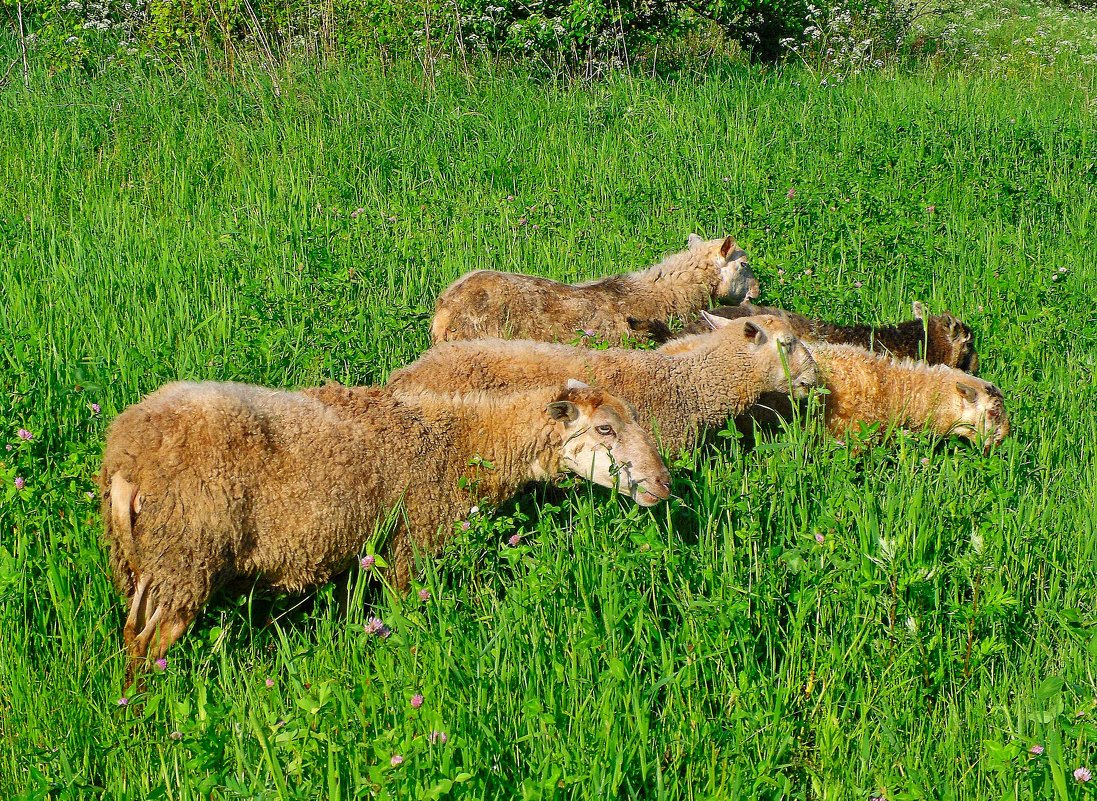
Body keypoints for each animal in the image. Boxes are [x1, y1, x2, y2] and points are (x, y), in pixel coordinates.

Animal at [100, 377, 666, 671]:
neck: (459, 440)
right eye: (605, 429)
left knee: (131, 634)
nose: (664, 485)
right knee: (151, 644)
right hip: (187, 553)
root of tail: (129, 459)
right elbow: (405, 610)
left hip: (144, 560)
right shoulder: (411, 544)